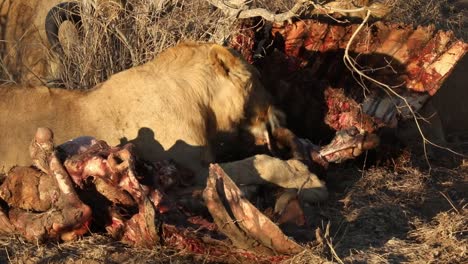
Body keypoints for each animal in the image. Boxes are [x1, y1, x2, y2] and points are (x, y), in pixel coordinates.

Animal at [0, 41, 328, 202]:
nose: (280, 112)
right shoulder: (191, 170)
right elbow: (255, 164)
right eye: (258, 78)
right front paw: (307, 179)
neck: (202, 103)